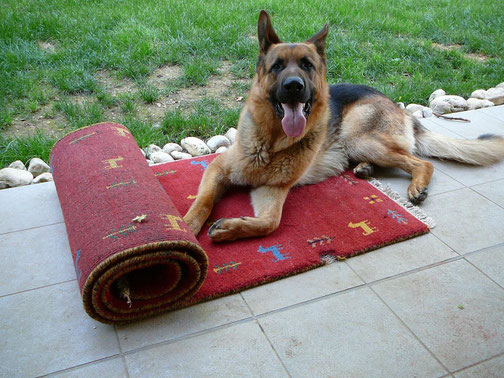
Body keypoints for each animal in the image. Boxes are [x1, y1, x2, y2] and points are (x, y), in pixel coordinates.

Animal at [184, 11, 504, 244]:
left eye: (307, 65)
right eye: (277, 66)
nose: (294, 87)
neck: (272, 142)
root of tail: (397, 107)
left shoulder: (272, 189)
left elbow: (269, 223)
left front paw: (228, 228)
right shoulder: (218, 170)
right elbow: (203, 201)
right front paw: (186, 226)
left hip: (360, 138)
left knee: (421, 162)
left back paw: (414, 185)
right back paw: (365, 168)